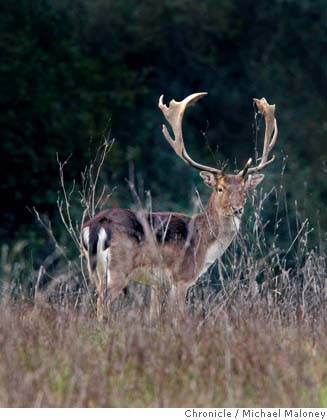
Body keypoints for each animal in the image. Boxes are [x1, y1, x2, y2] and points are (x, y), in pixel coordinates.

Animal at [80, 93, 278, 320]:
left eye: (244, 190)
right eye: (220, 188)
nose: (237, 209)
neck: (203, 245)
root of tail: (95, 226)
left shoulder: (157, 284)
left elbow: (154, 315)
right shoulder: (181, 276)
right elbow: (181, 316)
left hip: (93, 268)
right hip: (118, 268)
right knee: (102, 302)